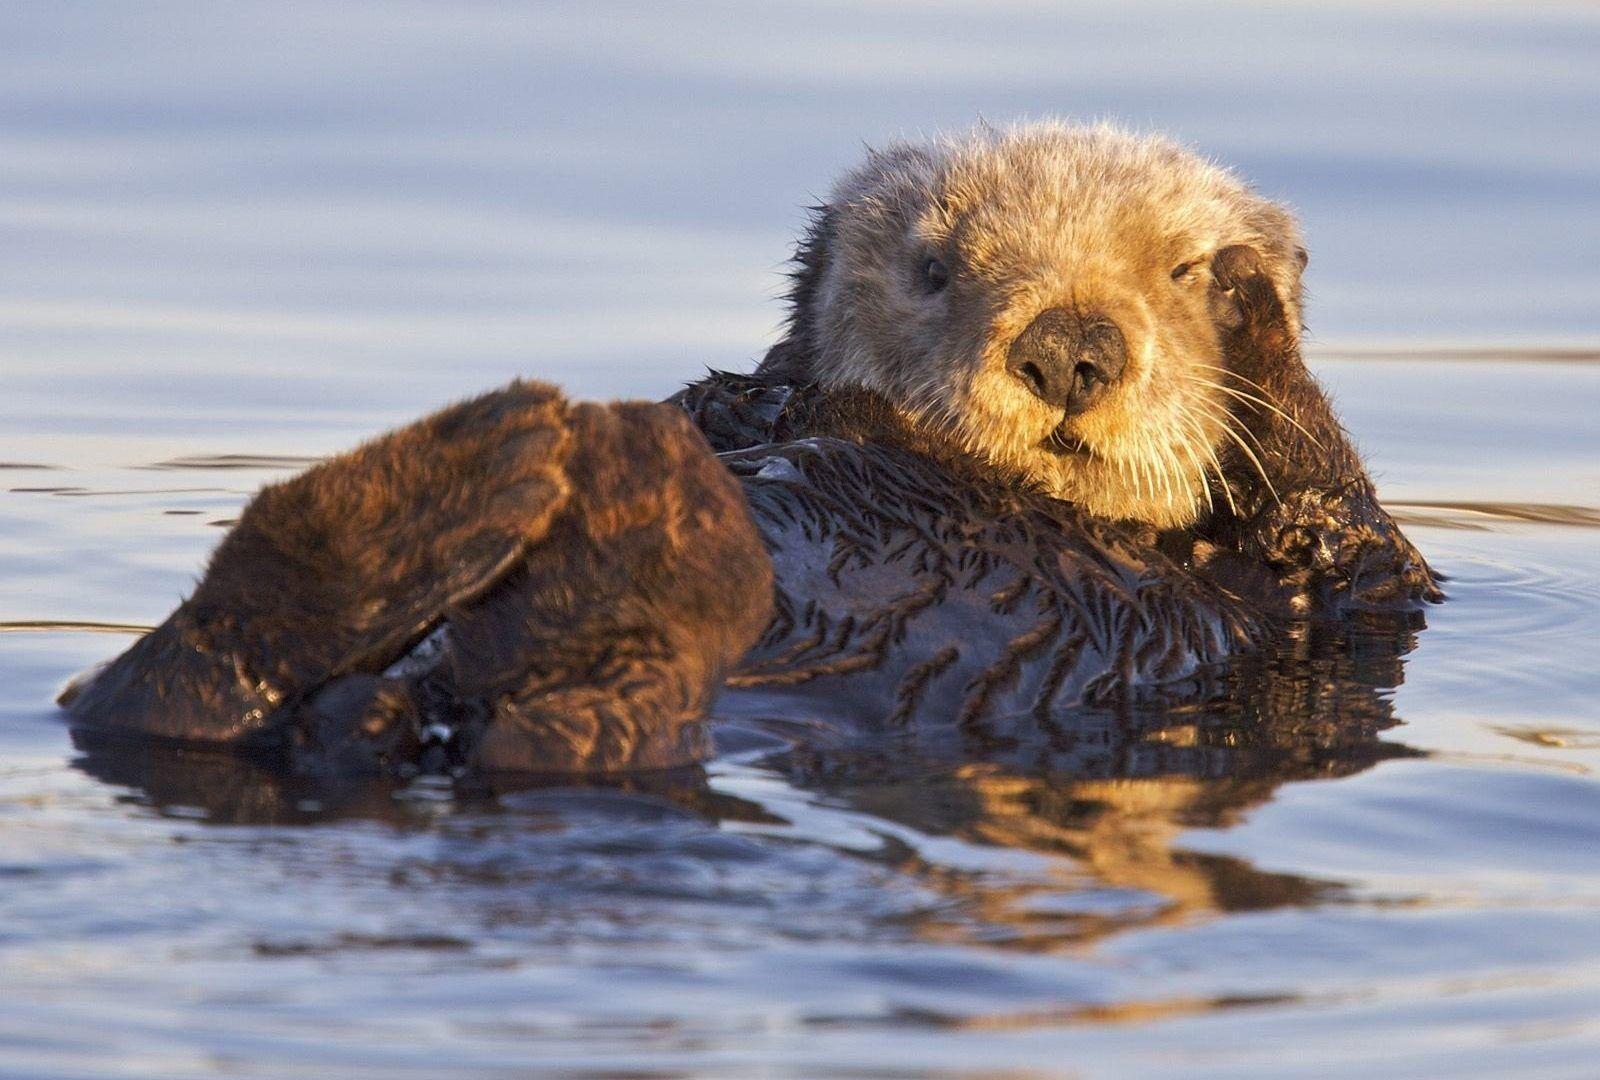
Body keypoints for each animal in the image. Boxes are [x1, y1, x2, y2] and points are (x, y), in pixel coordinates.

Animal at [59, 122, 1440, 774]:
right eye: (937, 268)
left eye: (1176, 271)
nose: (1069, 348)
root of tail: (399, 712)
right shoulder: (754, 404)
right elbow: (734, 404)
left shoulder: (1342, 601)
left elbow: (1343, 523)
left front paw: (1256, 303)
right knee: (163, 694)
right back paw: (503, 472)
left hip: (604, 710)